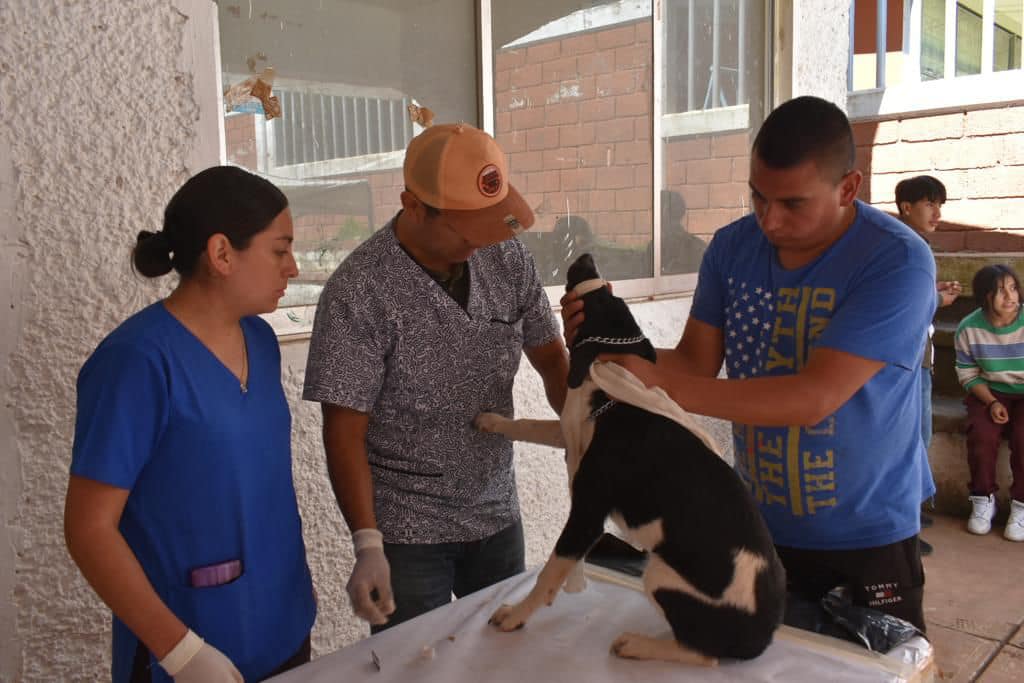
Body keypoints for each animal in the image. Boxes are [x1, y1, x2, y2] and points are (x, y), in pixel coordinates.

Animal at [477, 253, 782, 663]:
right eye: (609, 297)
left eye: (594, 301)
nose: (586, 258)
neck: (614, 392)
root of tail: (764, 636)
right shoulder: (572, 434)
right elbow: (530, 424)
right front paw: (490, 421)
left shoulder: (588, 513)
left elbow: (550, 572)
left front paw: (516, 615)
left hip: (659, 577)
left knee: (704, 653)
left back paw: (637, 644)